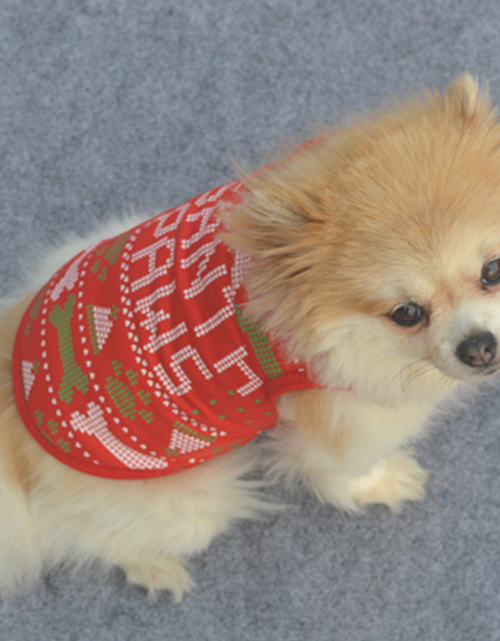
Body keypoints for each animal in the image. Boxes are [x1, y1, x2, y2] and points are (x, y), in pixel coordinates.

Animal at [0, 75, 500, 600]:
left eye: (492, 270)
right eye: (406, 313)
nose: (479, 347)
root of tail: (13, 391)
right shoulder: (344, 419)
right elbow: (342, 470)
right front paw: (378, 483)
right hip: (196, 503)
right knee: (82, 535)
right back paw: (154, 568)